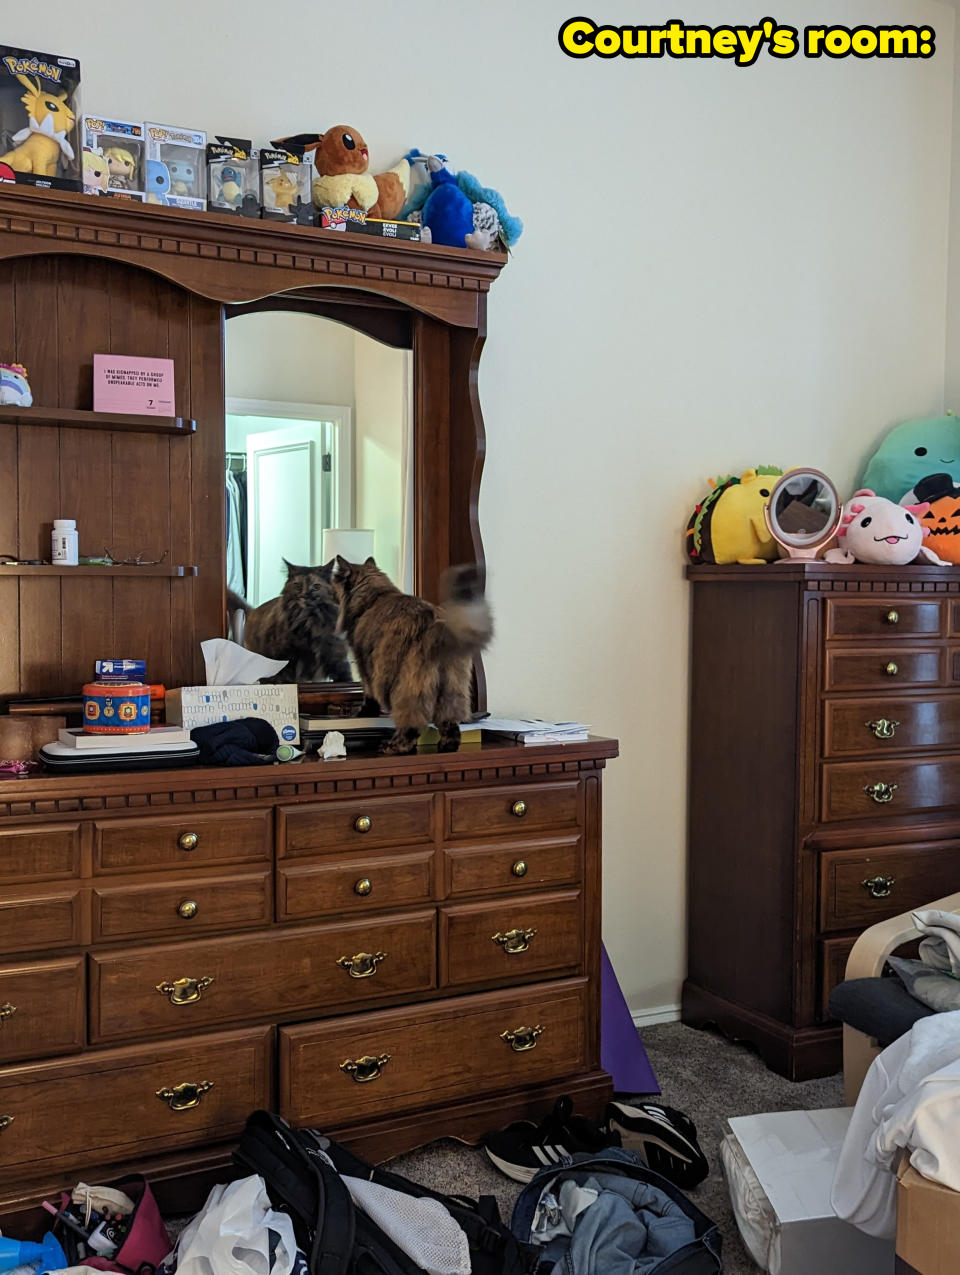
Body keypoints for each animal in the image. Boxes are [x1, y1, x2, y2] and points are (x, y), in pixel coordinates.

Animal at [331, 555, 494, 749]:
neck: (374, 598)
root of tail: (436, 624)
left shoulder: (364, 665)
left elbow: (369, 696)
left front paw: (361, 714)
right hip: (452, 689)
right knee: (450, 724)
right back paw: (446, 746)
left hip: (403, 685)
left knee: (412, 722)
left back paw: (393, 746)